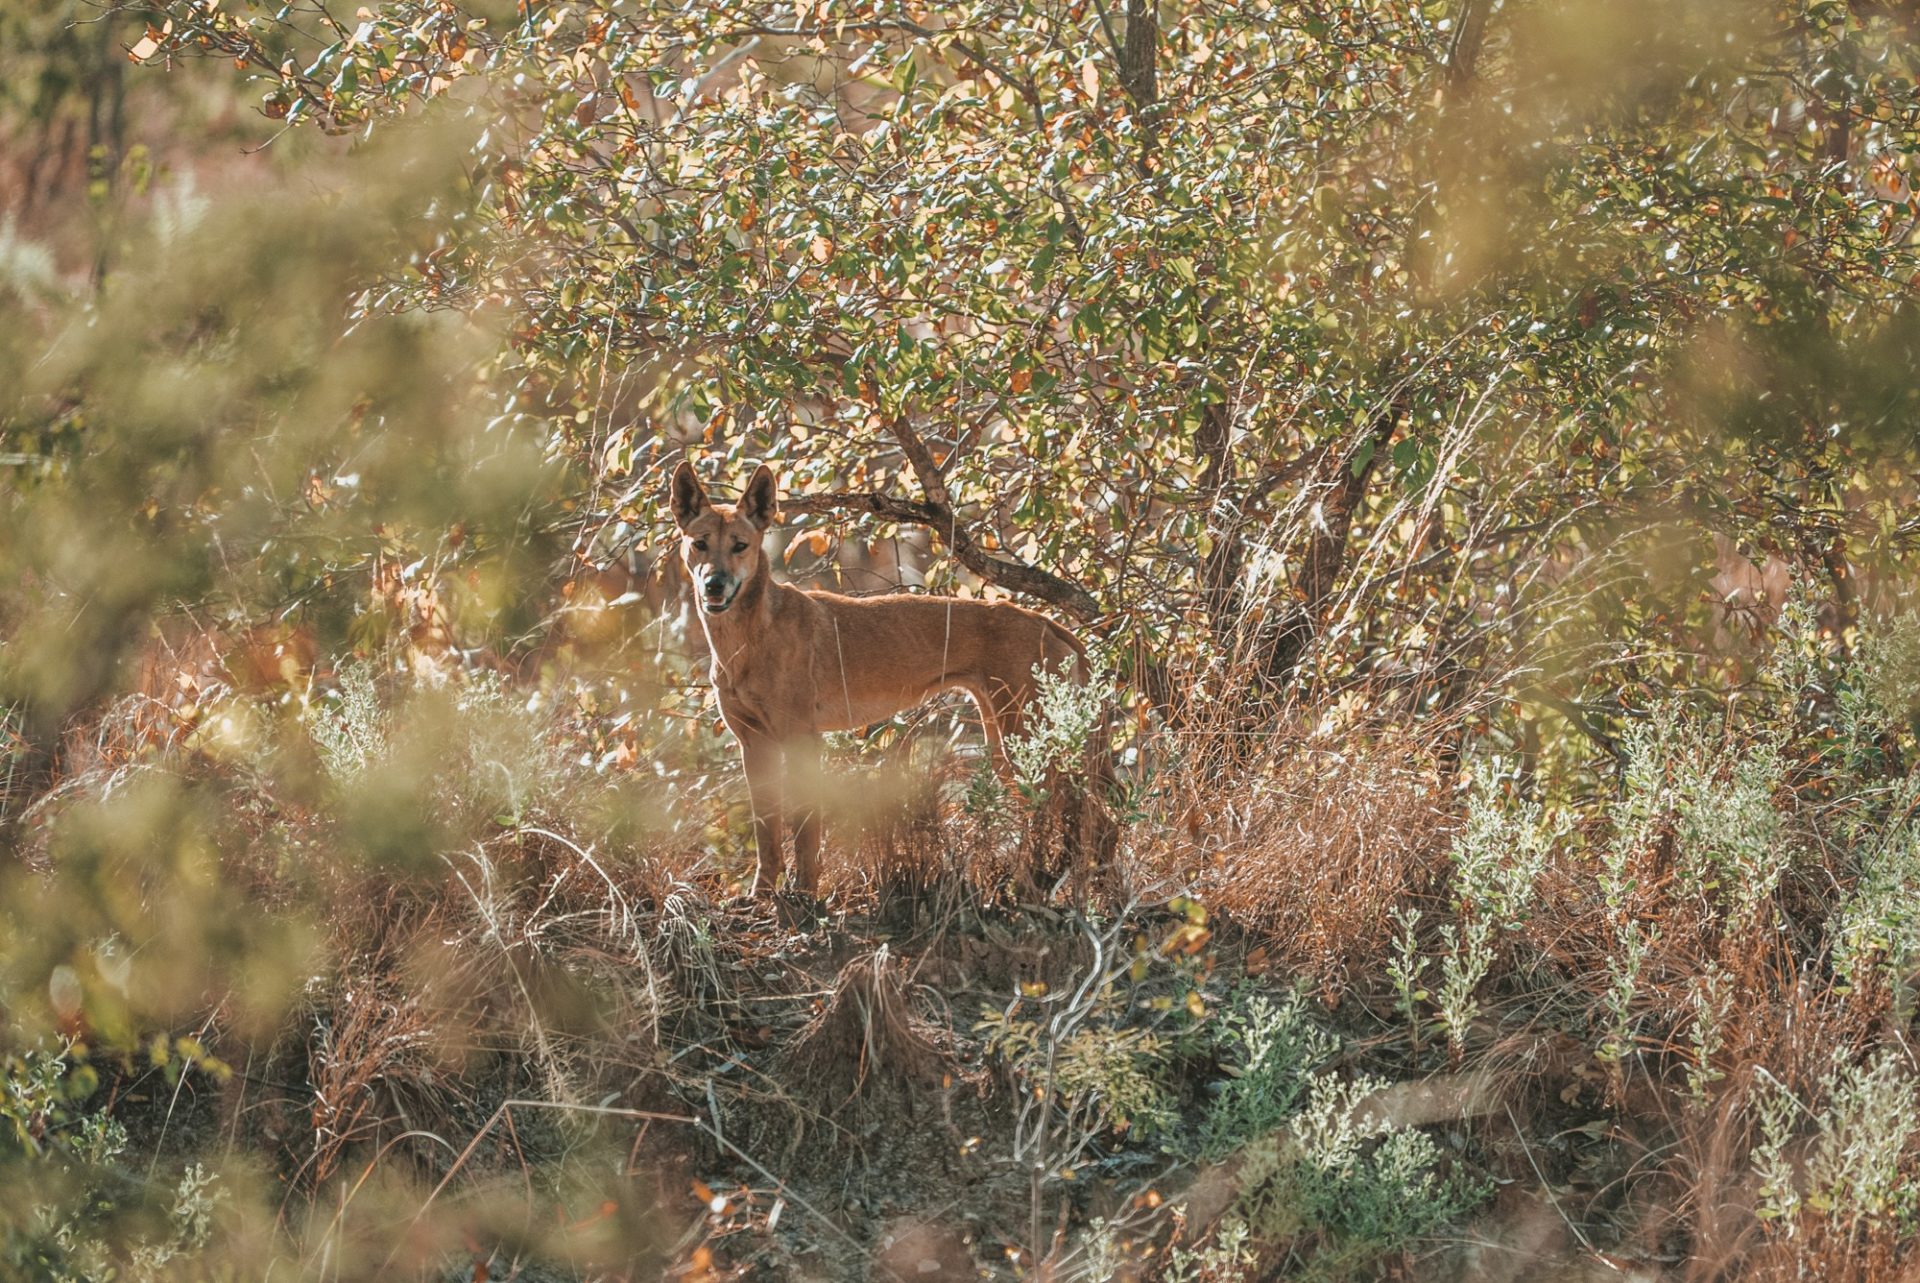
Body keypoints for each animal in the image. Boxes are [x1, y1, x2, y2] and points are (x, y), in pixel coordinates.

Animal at [672, 459, 1098, 891]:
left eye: (740, 545)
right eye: (700, 544)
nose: (714, 584)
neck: (744, 641)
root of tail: (1045, 620)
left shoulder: (801, 738)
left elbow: (806, 827)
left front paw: (805, 892)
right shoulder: (753, 743)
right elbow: (766, 832)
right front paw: (762, 892)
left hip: (1025, 741)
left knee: (1076, 809)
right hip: (1004, 743)